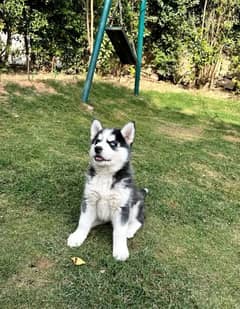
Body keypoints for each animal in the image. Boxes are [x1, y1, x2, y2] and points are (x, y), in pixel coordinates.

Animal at [66, 120, 147, 260]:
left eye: (113, 143)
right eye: (97, 141)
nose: (97, 148)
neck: (105, 174)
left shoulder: (122, 207)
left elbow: (119, 231)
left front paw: (120, 250)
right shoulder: (89, 200)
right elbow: (83, 222)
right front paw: (77, 236)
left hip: (136, 204)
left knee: (138, 221)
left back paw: (129, 230)